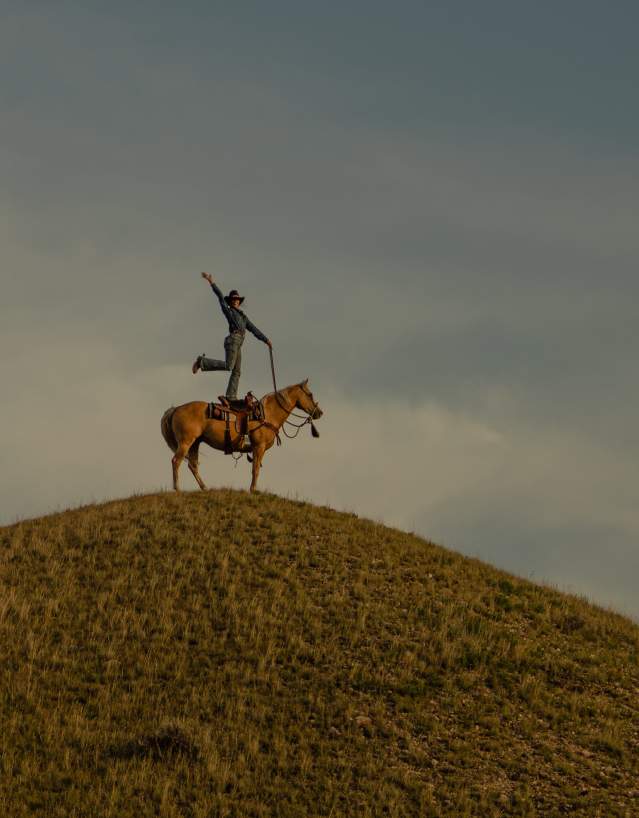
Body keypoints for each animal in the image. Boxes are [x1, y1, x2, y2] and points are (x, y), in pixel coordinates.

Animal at [160, 379, 323, 493]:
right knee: (176, 461)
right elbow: (255, 469)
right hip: (186, 442)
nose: (319, 412)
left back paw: (205, 487)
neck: (268, 414)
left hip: (195, 443)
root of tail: (176, 409)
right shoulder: (259, 447)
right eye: (310, 394)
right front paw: (253, 490)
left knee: (192, 465)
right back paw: (177, 488)